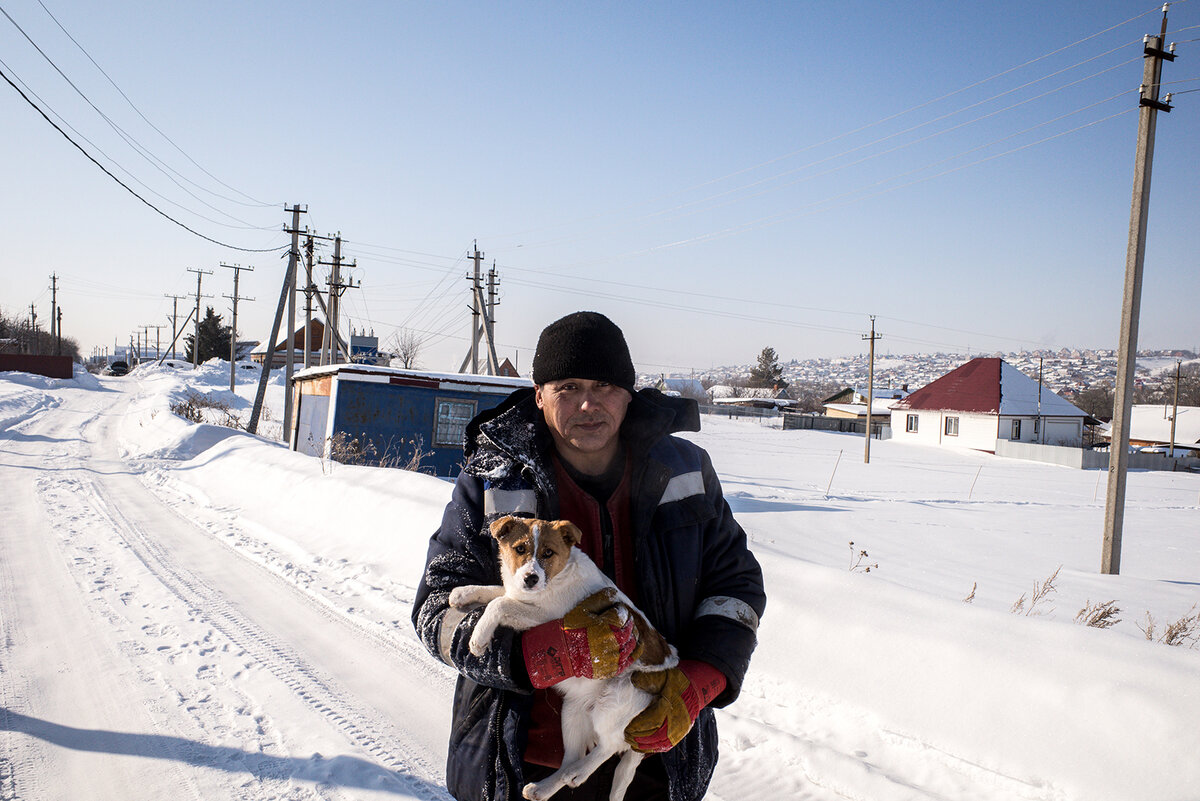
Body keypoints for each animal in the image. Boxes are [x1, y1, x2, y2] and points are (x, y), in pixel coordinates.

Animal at [451, 515, 681, 801]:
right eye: (519, 549)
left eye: (548, 553)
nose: (531, 578)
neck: (556, 579)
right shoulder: (520, 595)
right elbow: (498, 591)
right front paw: (463, 593)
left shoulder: (547, 617)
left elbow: (500, 603)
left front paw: (479, 638)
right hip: (572, 713)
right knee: (572, 758)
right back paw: (543, 787)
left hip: (616, 700)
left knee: (609, 746)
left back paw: (579, 772)